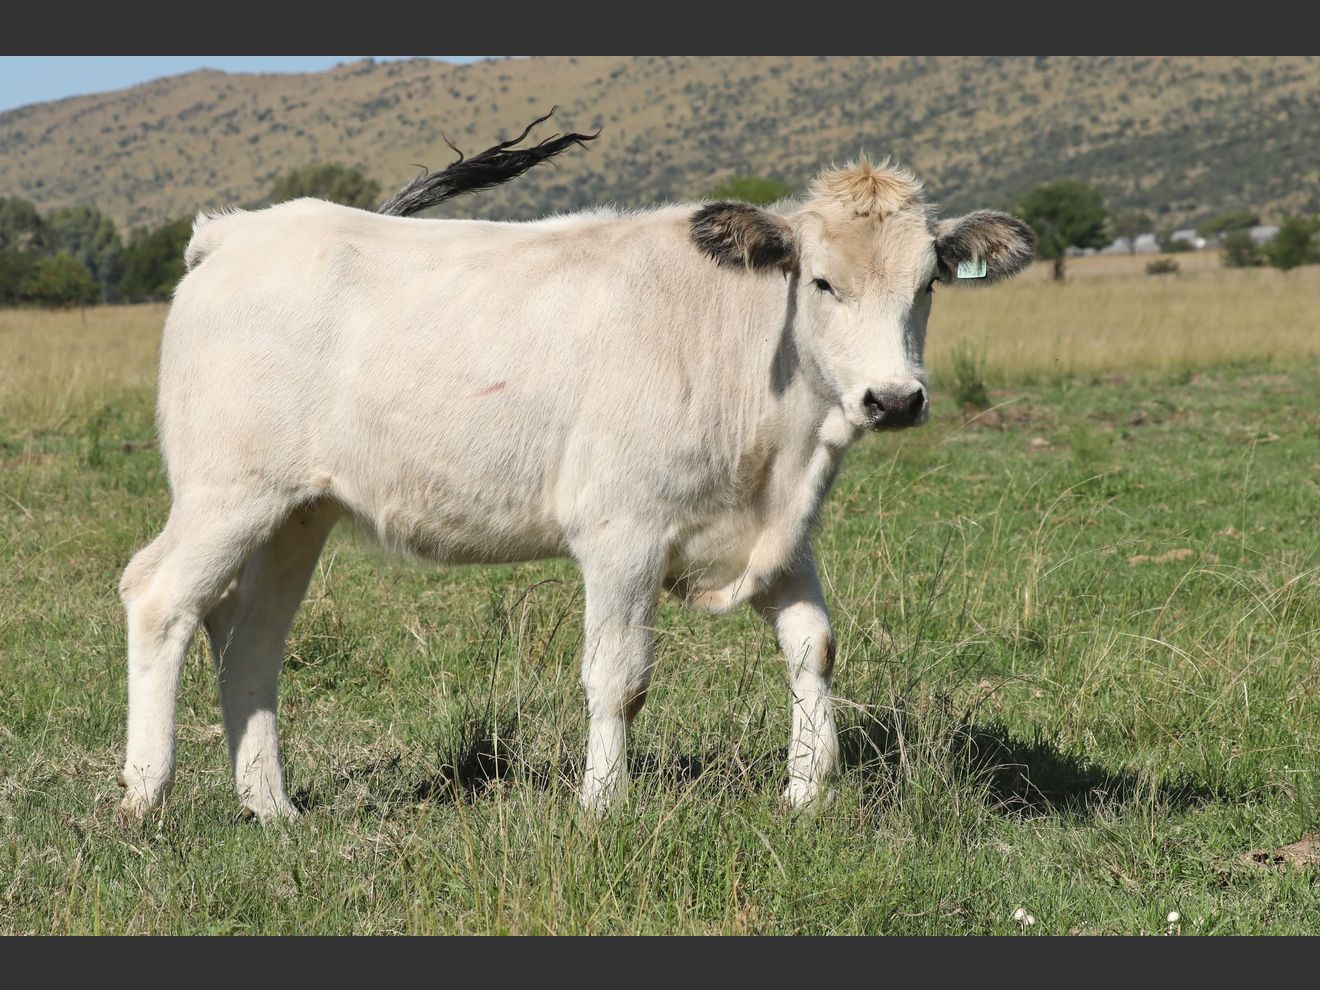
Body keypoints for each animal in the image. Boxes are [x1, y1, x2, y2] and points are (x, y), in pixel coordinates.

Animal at [116, 143, 1035, 822]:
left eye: (927, 282)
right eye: (820, 280)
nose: (894, 398)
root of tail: (235, 234)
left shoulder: (776, 537)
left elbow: (814, 645)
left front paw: (808, 791)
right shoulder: (624, 535)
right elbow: (619, 677)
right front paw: (603, 804)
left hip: (297, 513)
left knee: (248, 637)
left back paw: (272, 808)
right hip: (229, 495)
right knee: (159, 596)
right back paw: (145, 796)